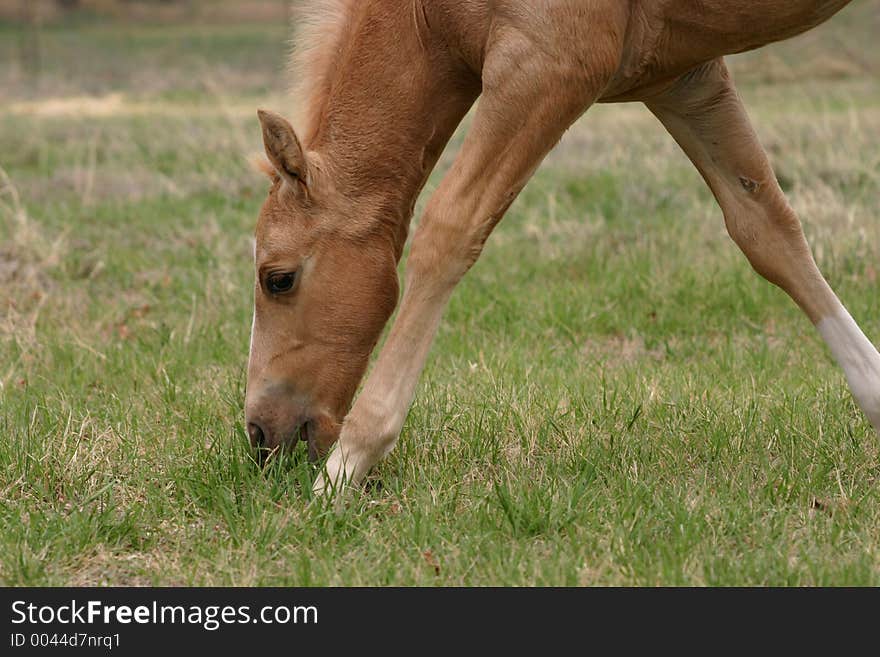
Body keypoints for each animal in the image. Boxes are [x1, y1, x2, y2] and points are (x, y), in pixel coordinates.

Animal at [246, 0, 880, 492]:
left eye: (278, 278)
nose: (257, 434)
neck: (426, 15)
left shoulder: (547, 65)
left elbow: (449, 230)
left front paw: (347, 466)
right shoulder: (685, 80)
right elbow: (766, 231)